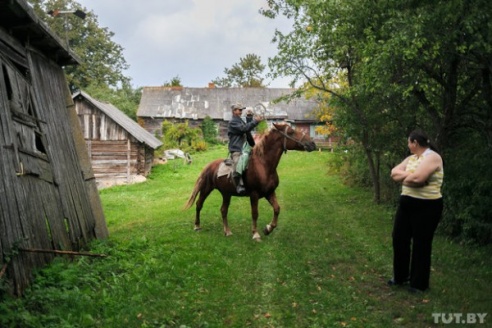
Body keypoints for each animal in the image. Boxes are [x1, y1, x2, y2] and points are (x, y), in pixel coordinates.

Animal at [184, 123, 316, 241]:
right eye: (291, 132)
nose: (312, 143)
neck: (264, 165)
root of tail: (209, 166)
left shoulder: (269, 192)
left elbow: (277, 209)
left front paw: (268, 229)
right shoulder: (254, 194)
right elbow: (255, 213)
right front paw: (256, 234)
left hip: (226, 194)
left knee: (223, 210)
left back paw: (227, 231)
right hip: (206, 189)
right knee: (199, 204)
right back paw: (197, 226)